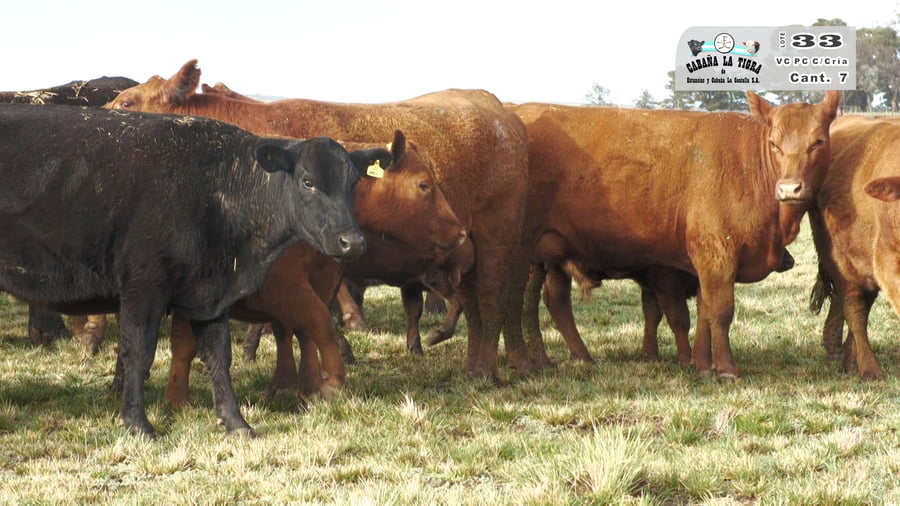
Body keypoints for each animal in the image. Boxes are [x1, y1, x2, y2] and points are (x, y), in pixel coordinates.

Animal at [0, 103, 383, 437]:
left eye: (353, 183)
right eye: (307, 181)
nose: (353, 242)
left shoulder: (209, 294)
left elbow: (218, 356)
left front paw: (236, 423)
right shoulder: (144, 285)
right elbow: (138, 353)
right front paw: (137, 423)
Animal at [107, 59, 532, 382]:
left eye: (127, 103)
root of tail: (498, 110)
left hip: (496, 240)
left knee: (493, 299)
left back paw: (488, 370)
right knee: (478, 305)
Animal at [510, 90, 840, 380]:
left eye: (818, 141)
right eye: (774, 143)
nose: (790, 189)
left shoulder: (705, 265)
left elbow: (704, 312)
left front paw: (702, 364)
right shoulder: (715, 256)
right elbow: (718, 312)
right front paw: (726, 369)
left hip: (551, 254)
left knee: (552, 301)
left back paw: (574, 357)